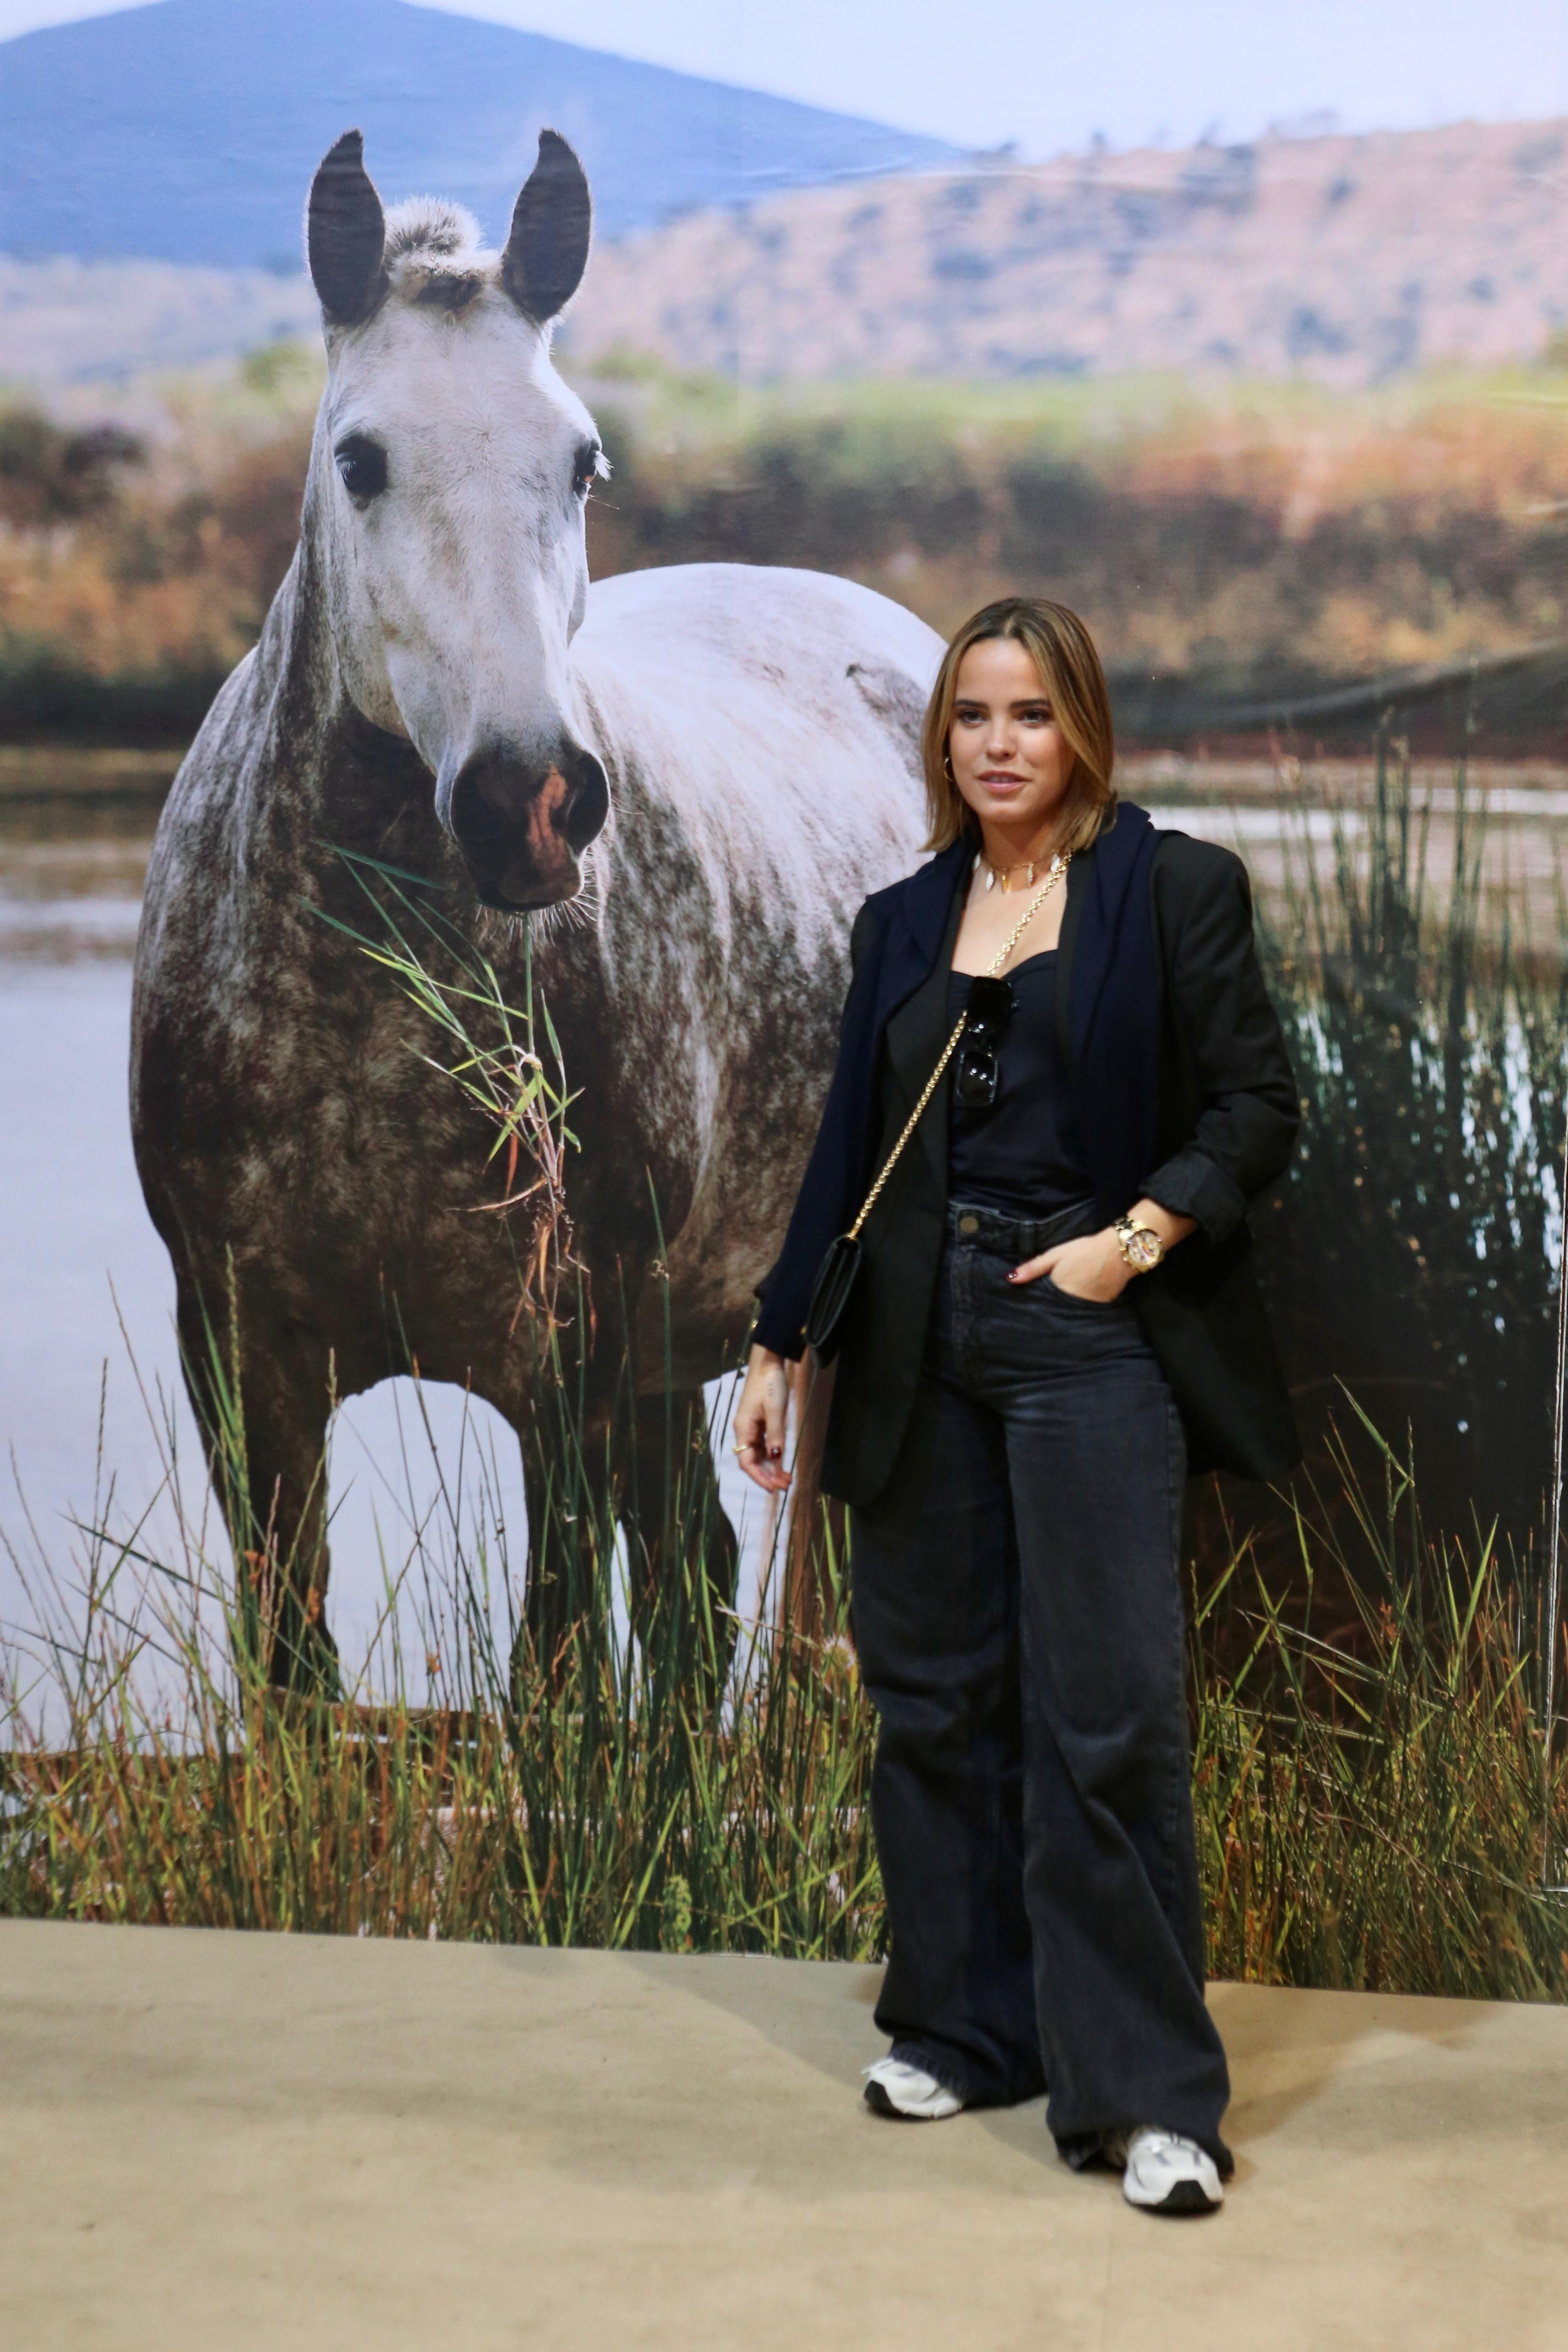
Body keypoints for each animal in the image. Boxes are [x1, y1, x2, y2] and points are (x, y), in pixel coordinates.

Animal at [129, 133, 940, 1674]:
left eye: (582, 463)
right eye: (361, 459)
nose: (533, 800)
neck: (361, 1016)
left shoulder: (561, 1365)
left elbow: (551, 1671)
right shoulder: (242, 1365)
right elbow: (295, 1673)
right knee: (698, 1574)